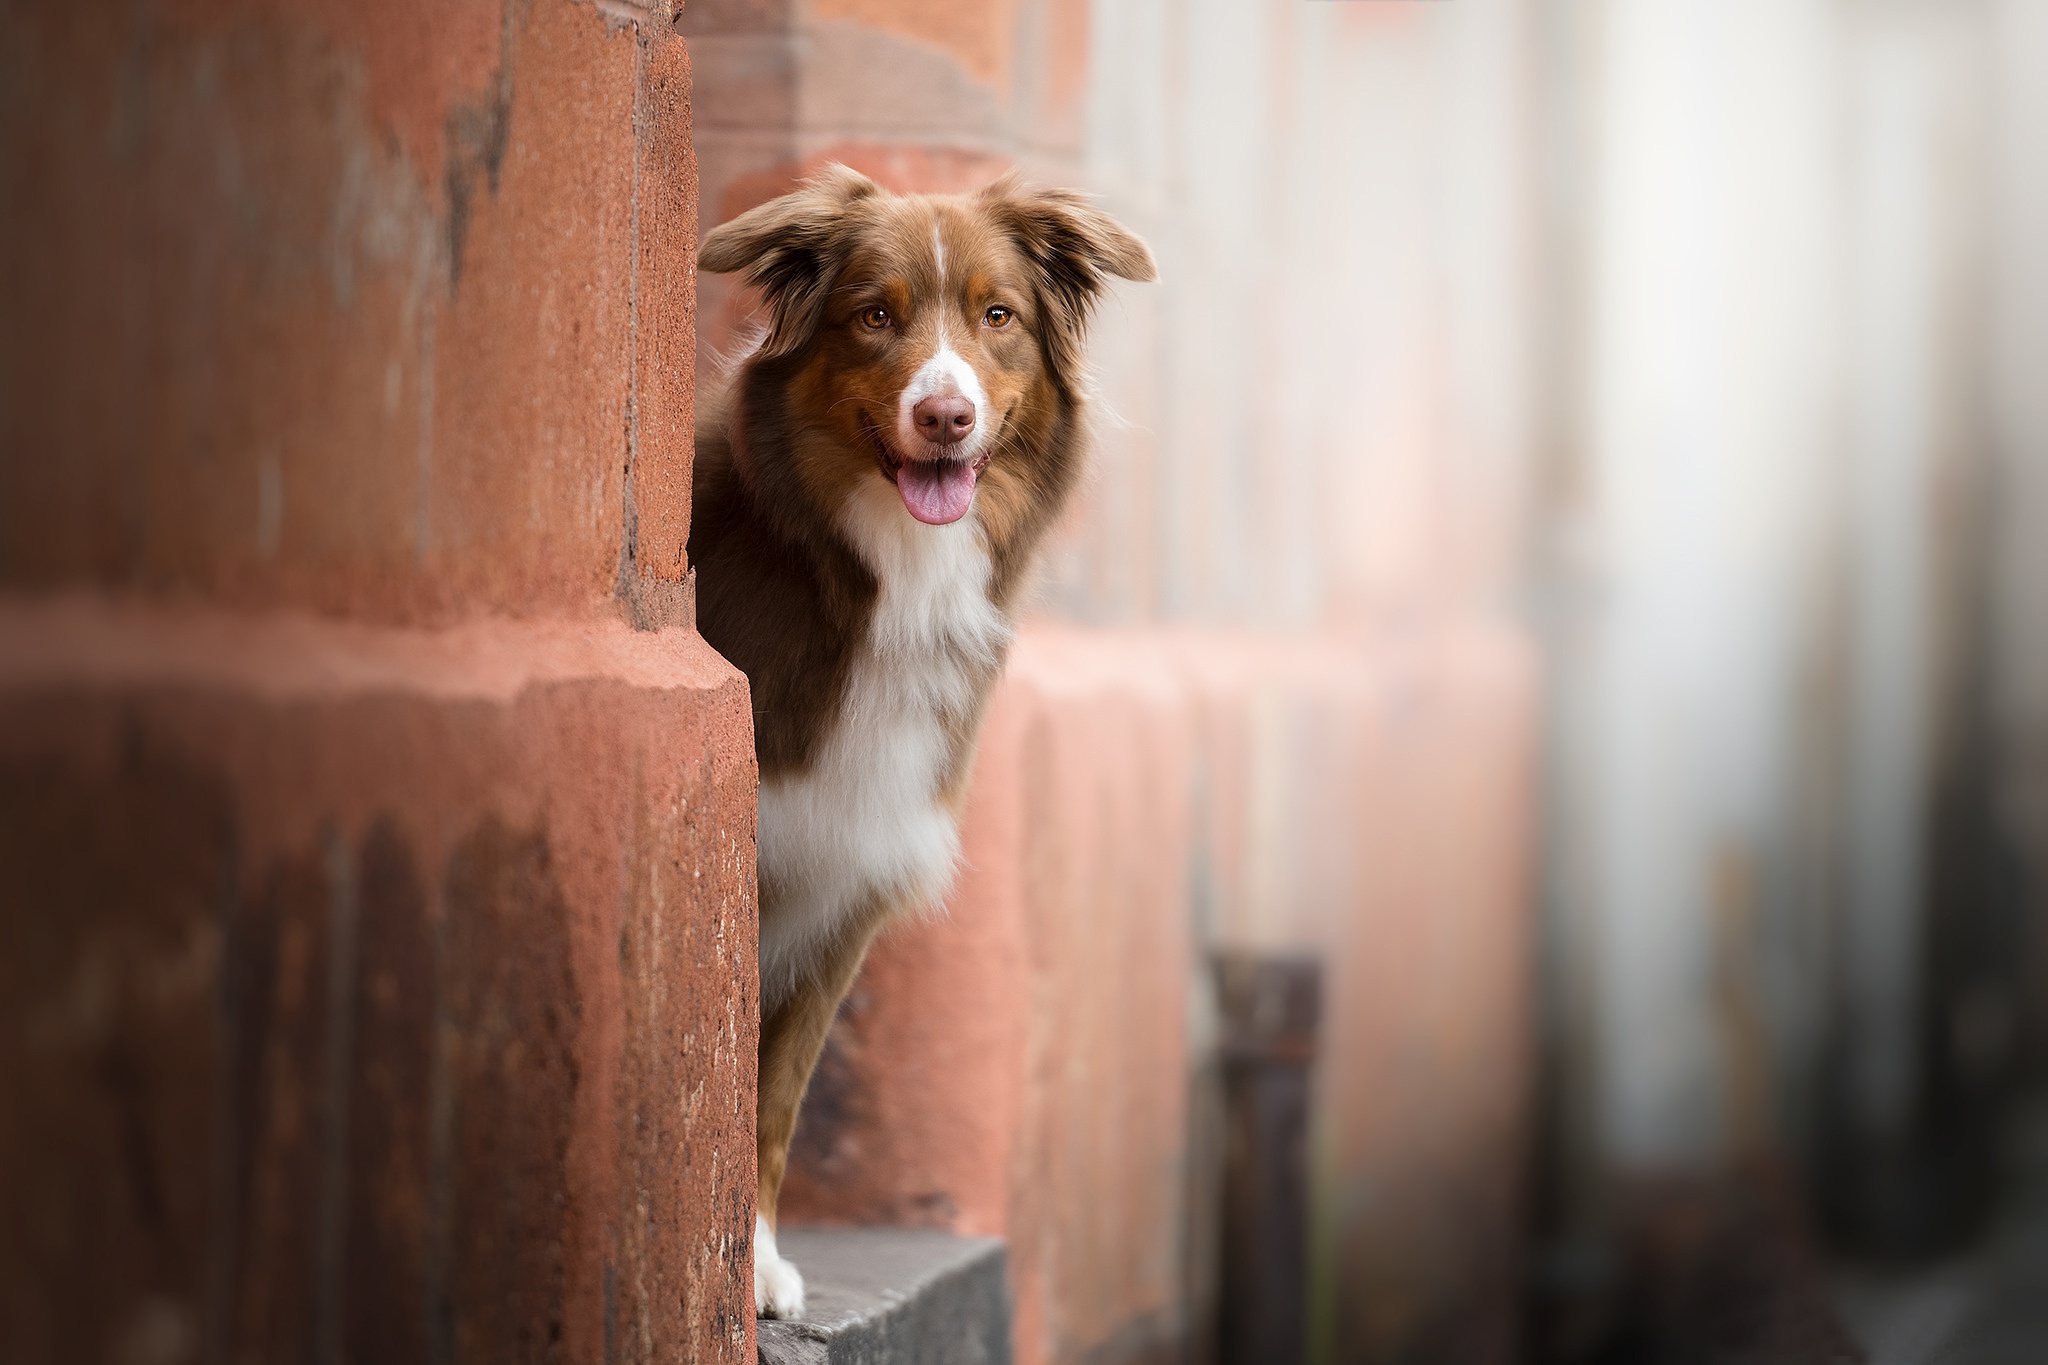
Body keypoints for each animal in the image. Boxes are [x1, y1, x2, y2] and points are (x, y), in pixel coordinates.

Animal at [688, 165, 1163, 1317]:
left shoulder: (842, 879)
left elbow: (772, 1093)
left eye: (998, 317)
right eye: (873, 316)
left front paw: (755, 1261)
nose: (945, 416)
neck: (871, 572)